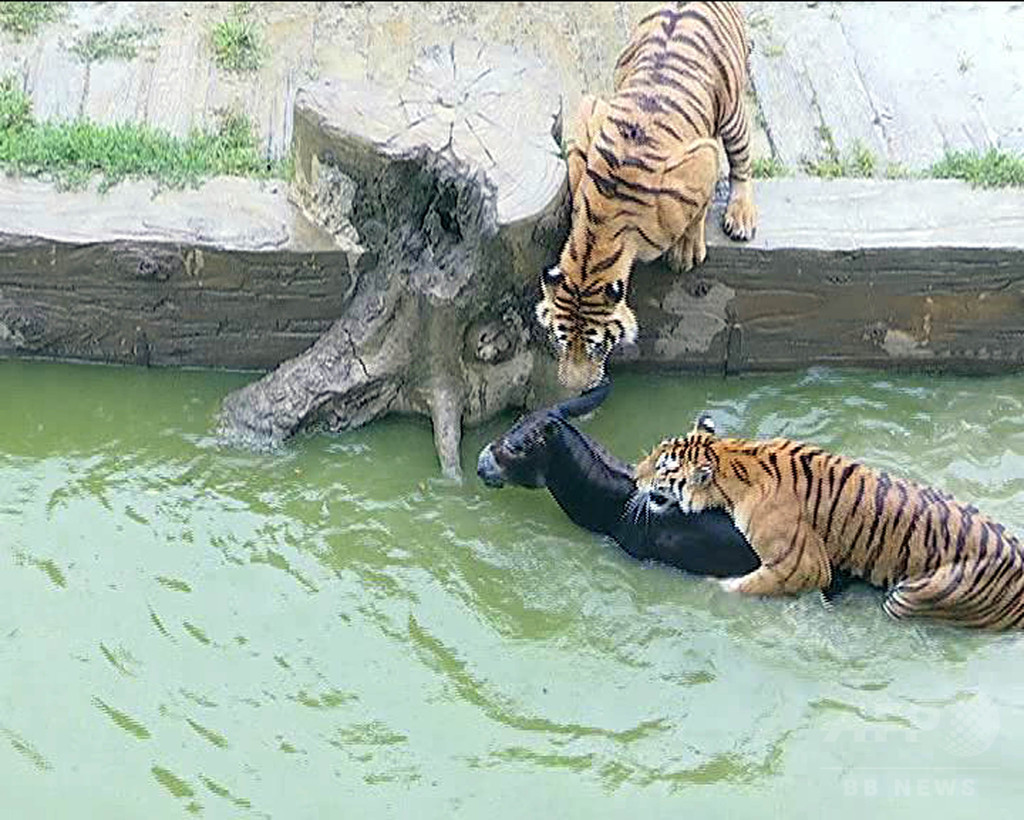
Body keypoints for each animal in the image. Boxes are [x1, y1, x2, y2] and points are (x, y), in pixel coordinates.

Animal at [540, 0, 757, 391]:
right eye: (560, 339)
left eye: (597, 347)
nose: (576, 389)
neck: (595, 235)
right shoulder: (589, 114)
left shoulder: (701, 156)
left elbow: (699, 204)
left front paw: (686, 252)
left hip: (732, 109)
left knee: (741, 161)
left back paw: (741, 214)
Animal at [630, 413, 1024, 630]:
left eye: (661, 468)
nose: (634, 474)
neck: (735, 457)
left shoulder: (801, 565)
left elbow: (744, 586)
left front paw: (712, 589)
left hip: (914, 595)